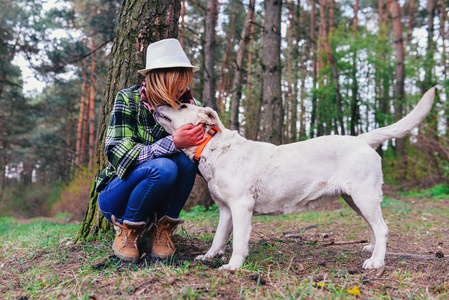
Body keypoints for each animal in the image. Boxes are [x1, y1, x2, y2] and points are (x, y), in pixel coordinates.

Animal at [154, 88, 434, 270]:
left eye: (181, 105)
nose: (156, 104)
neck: (212, 147)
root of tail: (361, 139)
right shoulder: (225, 209)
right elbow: (219, 237)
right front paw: (209, 257)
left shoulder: (242, 207)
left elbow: (239, 242)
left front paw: (233, 266)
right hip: (354, 199)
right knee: (375, 226)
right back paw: (372, 249)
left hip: (363, 196)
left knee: (383, 228)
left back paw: (376, 261)